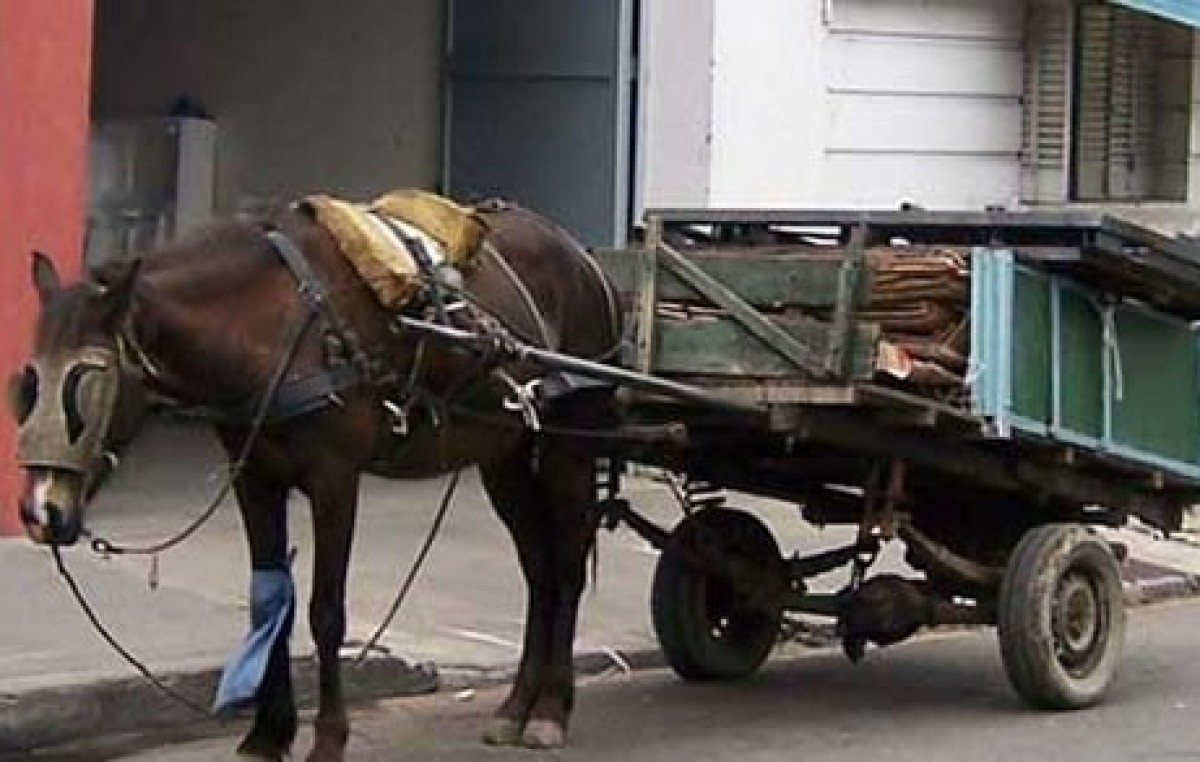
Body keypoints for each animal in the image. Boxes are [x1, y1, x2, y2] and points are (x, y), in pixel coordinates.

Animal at [9, 198, 624, 762]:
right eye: (28, 385)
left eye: (87, 384)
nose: (41, 512)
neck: (271, 325)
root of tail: (583, 257)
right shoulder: (254, 479)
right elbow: (268, 599)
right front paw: (267, 734)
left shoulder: (335, 479)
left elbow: (325, 612)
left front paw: (328, 738)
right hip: (506, 451)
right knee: (539, 570)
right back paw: (517, 706)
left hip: (571, 440)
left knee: (568, 565)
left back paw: (550, 710)